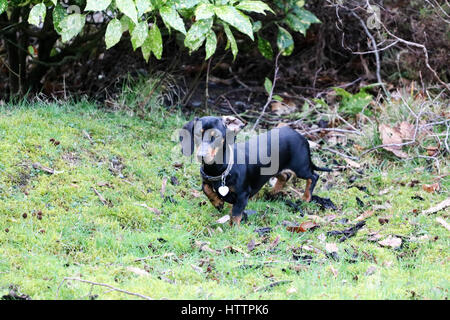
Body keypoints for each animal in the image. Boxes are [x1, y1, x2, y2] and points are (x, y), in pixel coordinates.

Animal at [179, 115, 330, 225]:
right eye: (197, 135)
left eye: (215, 136)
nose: (201, 156)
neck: (219, 170)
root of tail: (301, 136)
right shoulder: (206, 180)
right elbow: (206, 189)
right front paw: (218, 203)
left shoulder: (242, 195)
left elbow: (236, 213)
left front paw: (233, 228)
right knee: (284, 176)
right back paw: (273, 192)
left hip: (301, 168)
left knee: (313, 176)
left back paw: (305, 198)